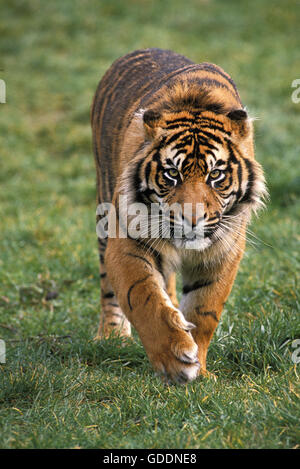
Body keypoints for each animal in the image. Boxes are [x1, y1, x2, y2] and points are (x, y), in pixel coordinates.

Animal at [90, 48, 266, 384]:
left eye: (215, 174)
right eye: (172, 173)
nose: (192, 219)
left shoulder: (224, 251)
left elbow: (204, 310)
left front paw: (200, 368)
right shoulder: (127, 241)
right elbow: (142, 295)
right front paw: (175, 359)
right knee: (109, 288)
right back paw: (111, 336)